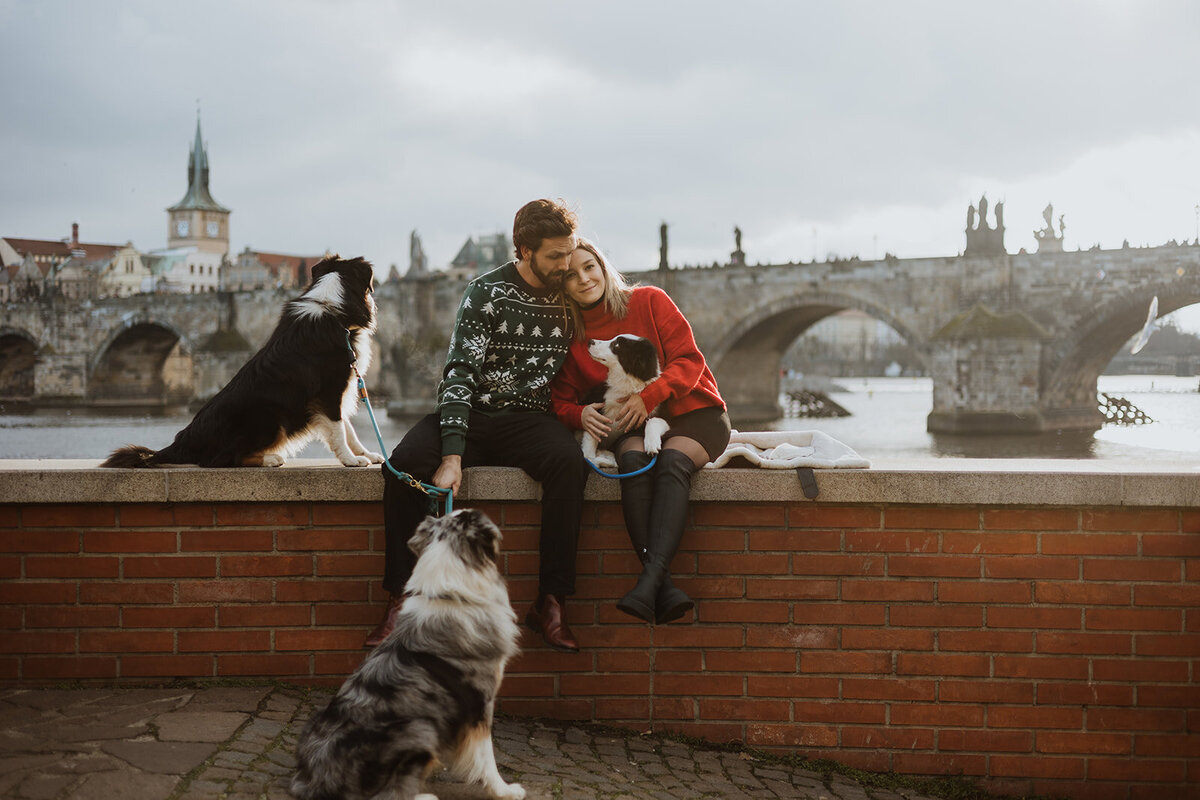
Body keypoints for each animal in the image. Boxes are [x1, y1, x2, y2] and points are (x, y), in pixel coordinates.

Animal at [103, 256, 386, 470]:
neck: (334, 311)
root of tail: (183, 441)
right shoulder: (329, 391)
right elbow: (339, 430)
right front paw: (350, 460)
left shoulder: (338, 392)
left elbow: (349, 429)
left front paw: (367, 454)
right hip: (269, 417)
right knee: (221, 459)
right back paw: (270, 458)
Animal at [291, 510, 525, 800]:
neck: (451, 596)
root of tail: (312, 781)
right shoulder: (480, 700)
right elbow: (486, 755)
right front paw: (505, 790)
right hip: (420, 727)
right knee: (388, 794)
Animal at [578, 333, 672, 470]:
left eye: (616, 345)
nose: (590, 341)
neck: (626, 384)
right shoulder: (594, 406)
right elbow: (588, 451)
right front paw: (594, 460)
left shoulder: (658, 411)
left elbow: (654, 420)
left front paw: (652, 444)